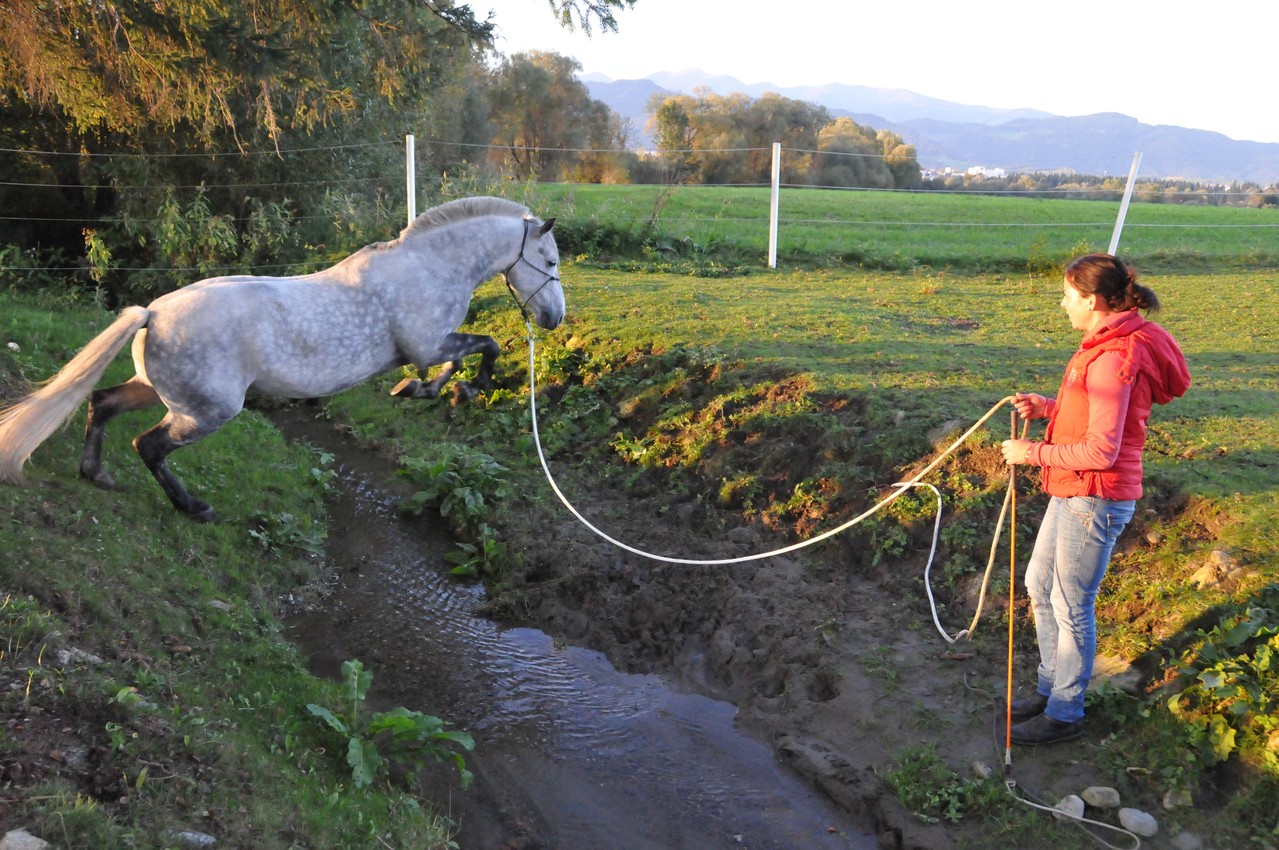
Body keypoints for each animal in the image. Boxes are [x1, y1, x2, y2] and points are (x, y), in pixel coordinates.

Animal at [0, 195, 565, 521]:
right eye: (551, 260)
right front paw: (463, 388)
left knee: (101, 403)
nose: (554, 318)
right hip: (206, 411)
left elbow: (455, 362)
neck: (428, 267)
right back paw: (194, 507)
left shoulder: (429, 346)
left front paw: (424, 389)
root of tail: (152, 313)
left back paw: (95, 475)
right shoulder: (430, 342)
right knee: (149, 446)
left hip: (154, 391)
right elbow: (485, 347)